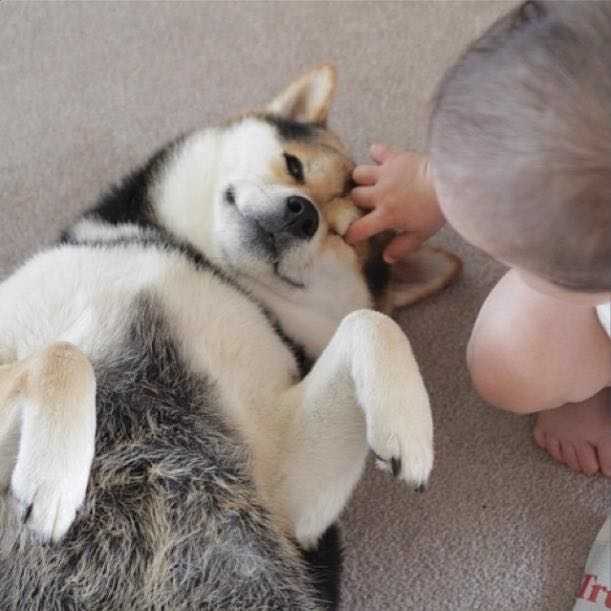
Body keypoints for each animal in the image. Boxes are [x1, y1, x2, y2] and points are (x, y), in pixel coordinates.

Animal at [0, 64, 460, 608]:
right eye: (294, 166)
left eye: (347, 236)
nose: (302, 213)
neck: (202, 261)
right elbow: (65, 355)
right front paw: (54, 476)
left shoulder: (288, 495)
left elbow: (372, 321)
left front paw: (409, 428)